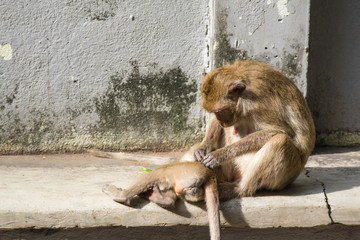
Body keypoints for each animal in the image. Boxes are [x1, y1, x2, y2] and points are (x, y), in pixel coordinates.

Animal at [180, 60, 316, 199]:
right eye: (214, 112)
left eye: (220, 111)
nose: (221, 121)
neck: (242, 97)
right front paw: (203, 148)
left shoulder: (260, 103)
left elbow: (281, 131)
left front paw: (219, 155)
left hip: (286, 177)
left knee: (280, 141)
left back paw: (238, 189)